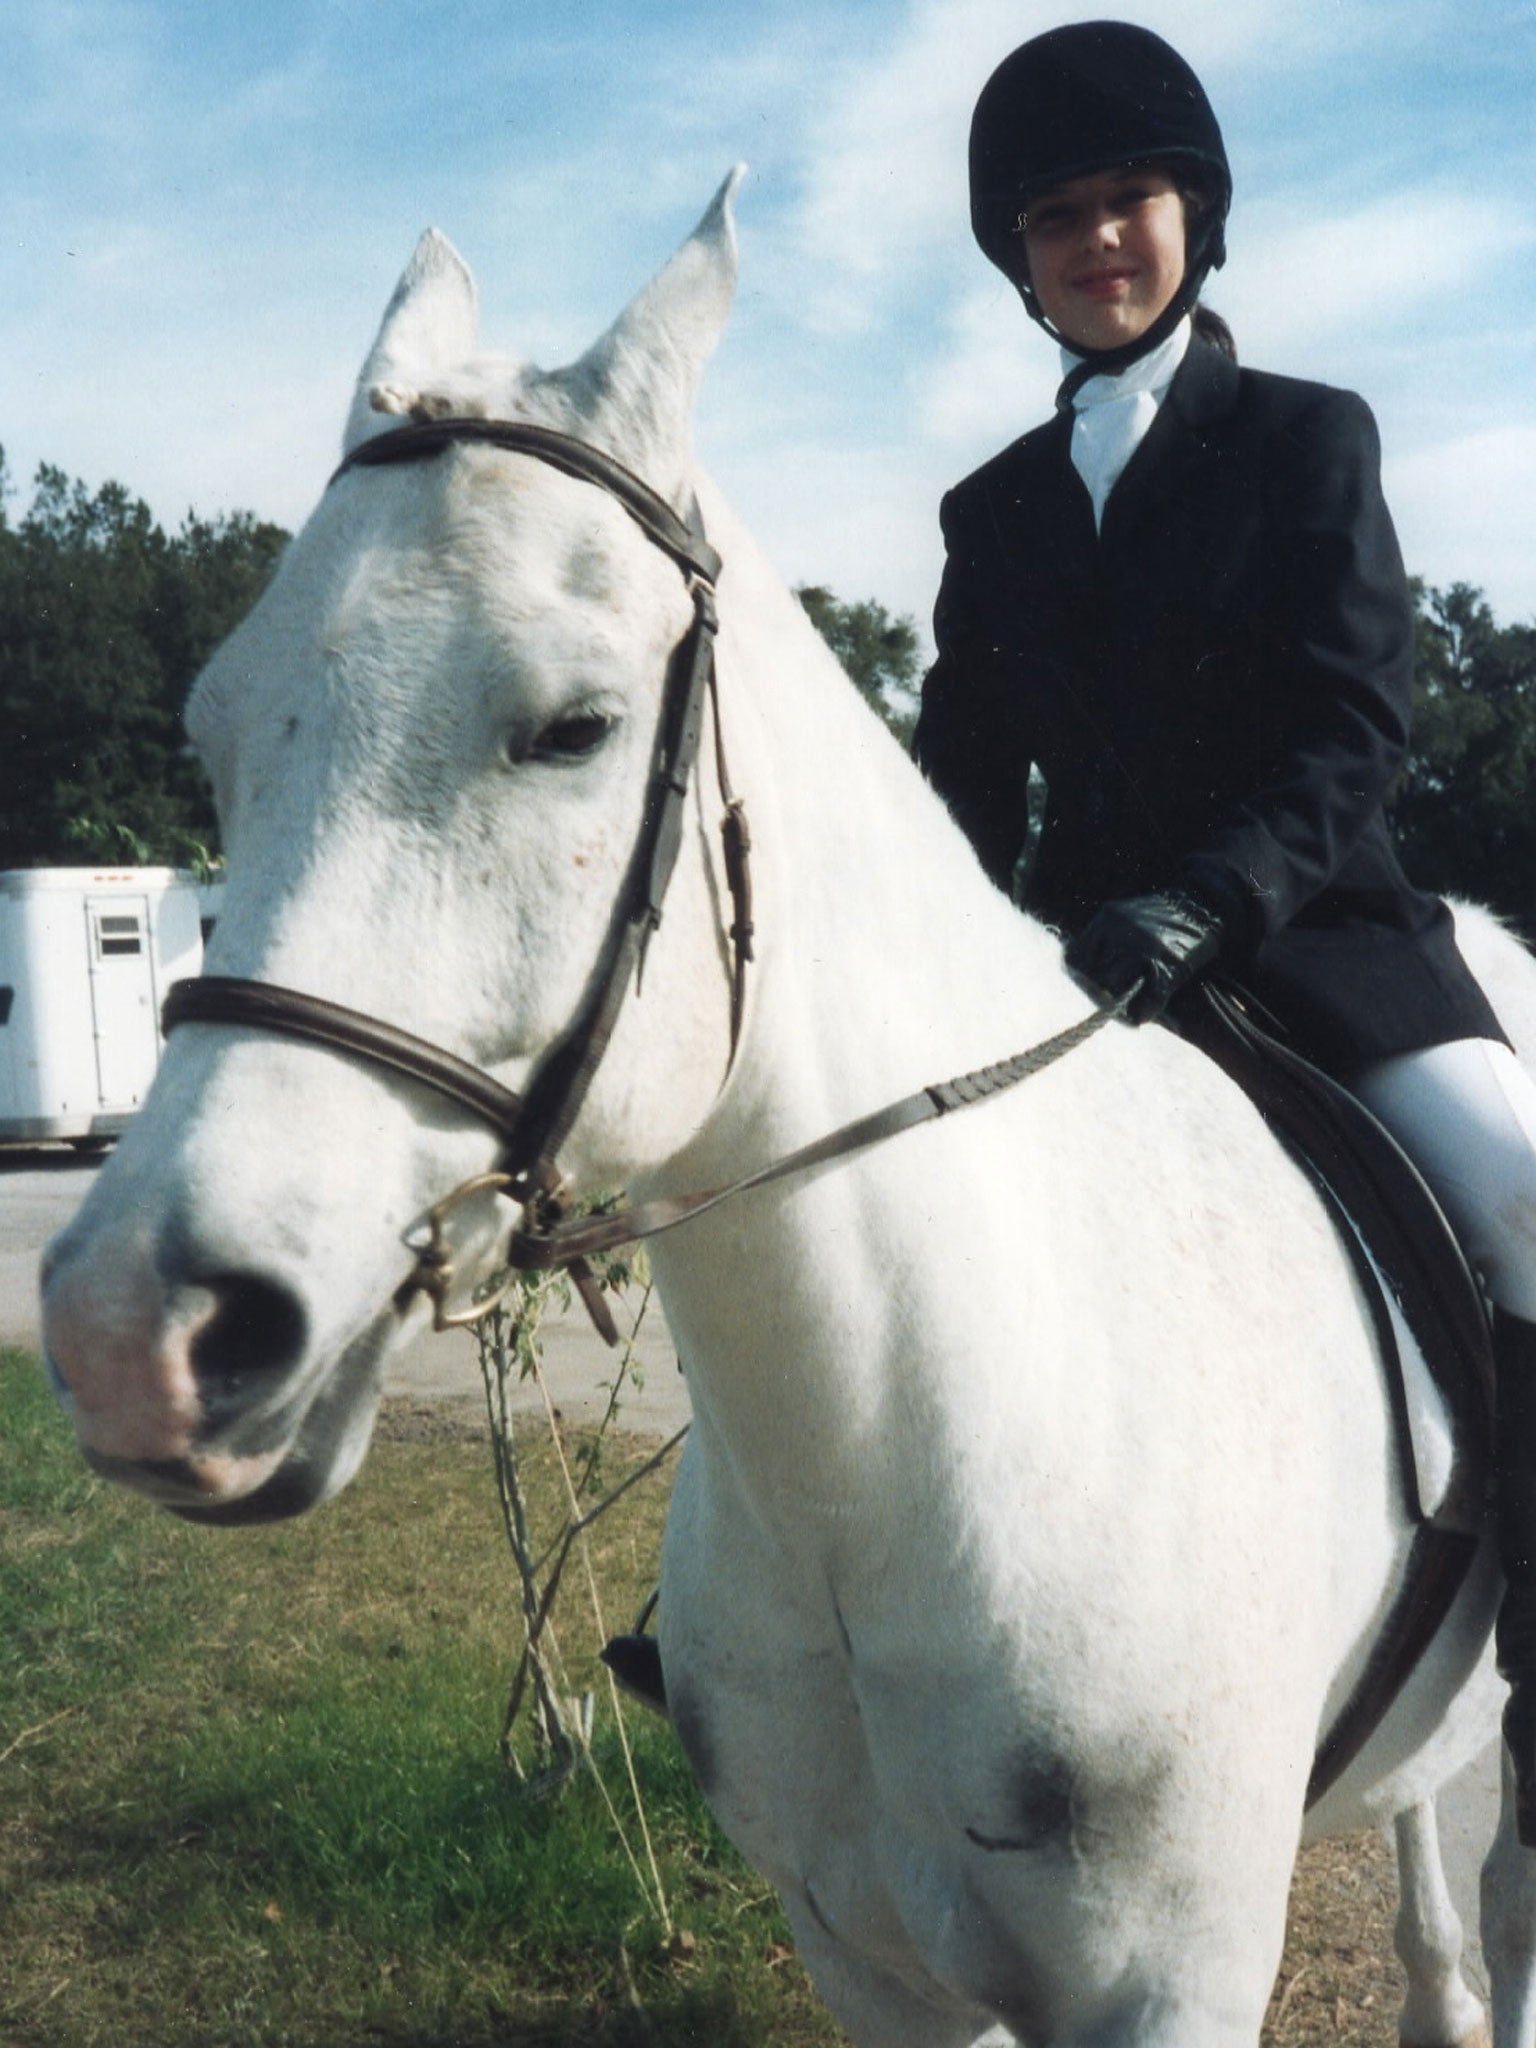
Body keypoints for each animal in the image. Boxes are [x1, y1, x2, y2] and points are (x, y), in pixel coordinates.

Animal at [41, 176, 1536, 2048]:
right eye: (217, 731)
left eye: (577, 726)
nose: (137, 1336)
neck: (896, 1469)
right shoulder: (867, 1958)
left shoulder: (1172, 1981)